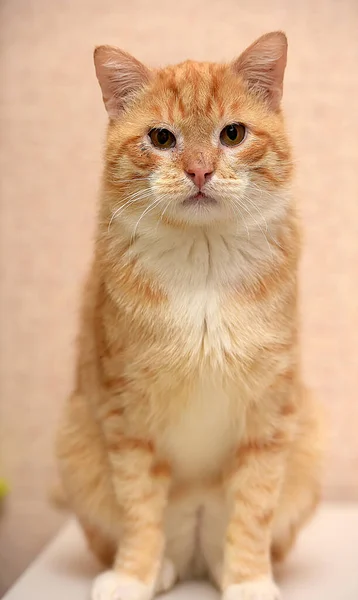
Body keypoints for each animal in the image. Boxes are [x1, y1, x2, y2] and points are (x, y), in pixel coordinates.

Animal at [56, 31, 324, 600]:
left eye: (232, 133)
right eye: (161, 137)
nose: (199, 170)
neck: (203, 262)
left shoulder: (270, 413)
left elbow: (254, 510)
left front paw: (249, 580)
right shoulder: (127, 415)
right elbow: (139, 509)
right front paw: (132, 575)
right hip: (74, 445)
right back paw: (159, 568)